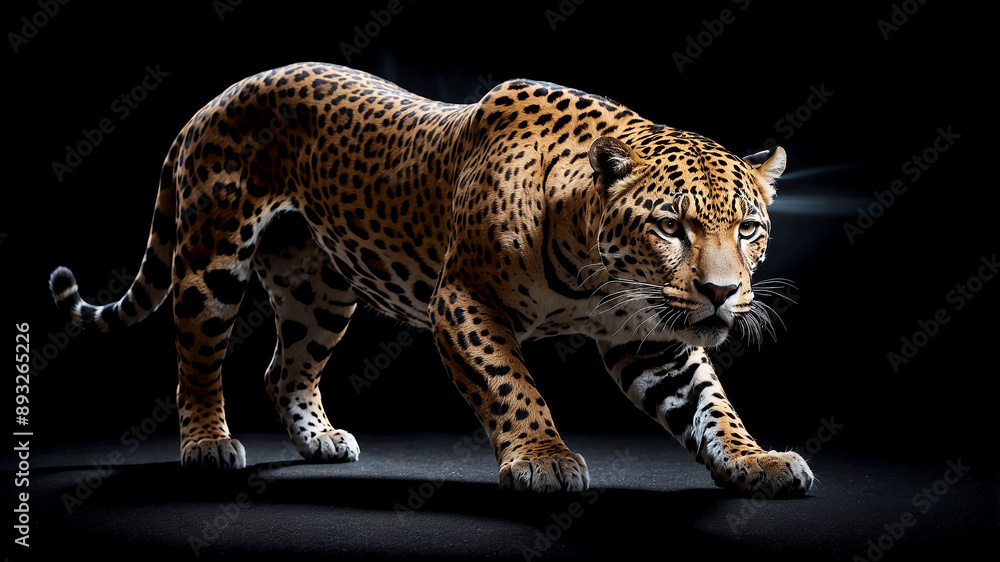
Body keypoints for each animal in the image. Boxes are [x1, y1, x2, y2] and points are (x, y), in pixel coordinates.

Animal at [49, 62, 813, 495]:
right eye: (669, 227)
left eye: (748, 229)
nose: (721, 292)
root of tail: (214, 99)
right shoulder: (464, 302)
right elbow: (513, 387)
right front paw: (543, 460)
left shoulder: (649, 339)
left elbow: (711, 407)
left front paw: (758, 462)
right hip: (212, 264)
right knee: (197, 362)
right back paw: (207, 445)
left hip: (318, 292)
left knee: (282, 368)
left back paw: (320, 441)